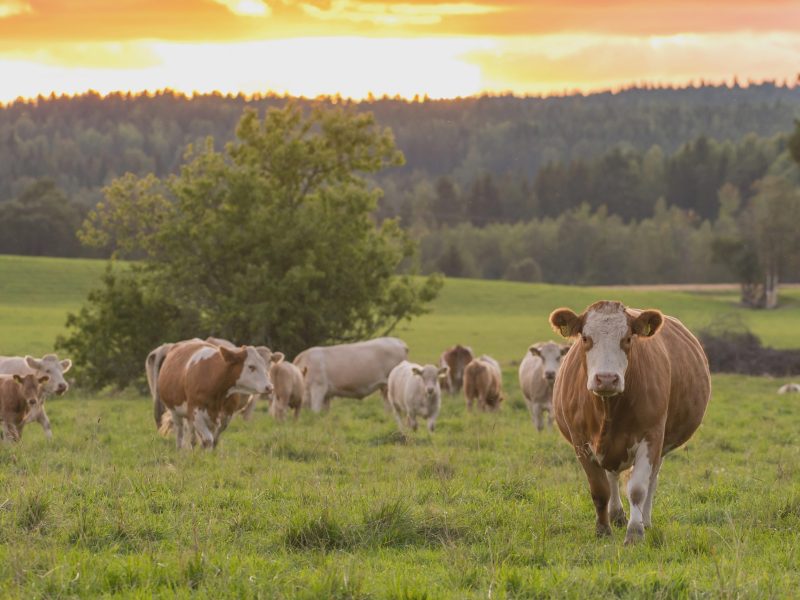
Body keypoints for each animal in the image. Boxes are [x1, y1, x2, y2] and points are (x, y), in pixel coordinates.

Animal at [549, 301, 711, 545]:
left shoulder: (652, 437)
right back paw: (616, 515)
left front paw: (635, 532)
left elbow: (637, 489)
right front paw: (603, 529)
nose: (607, 379)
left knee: (650, 482)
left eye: (627, 338)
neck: (609, 408)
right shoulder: (581, 442)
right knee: (612, 477)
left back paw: (645, 520)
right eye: (585, 338)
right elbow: (600, 490)